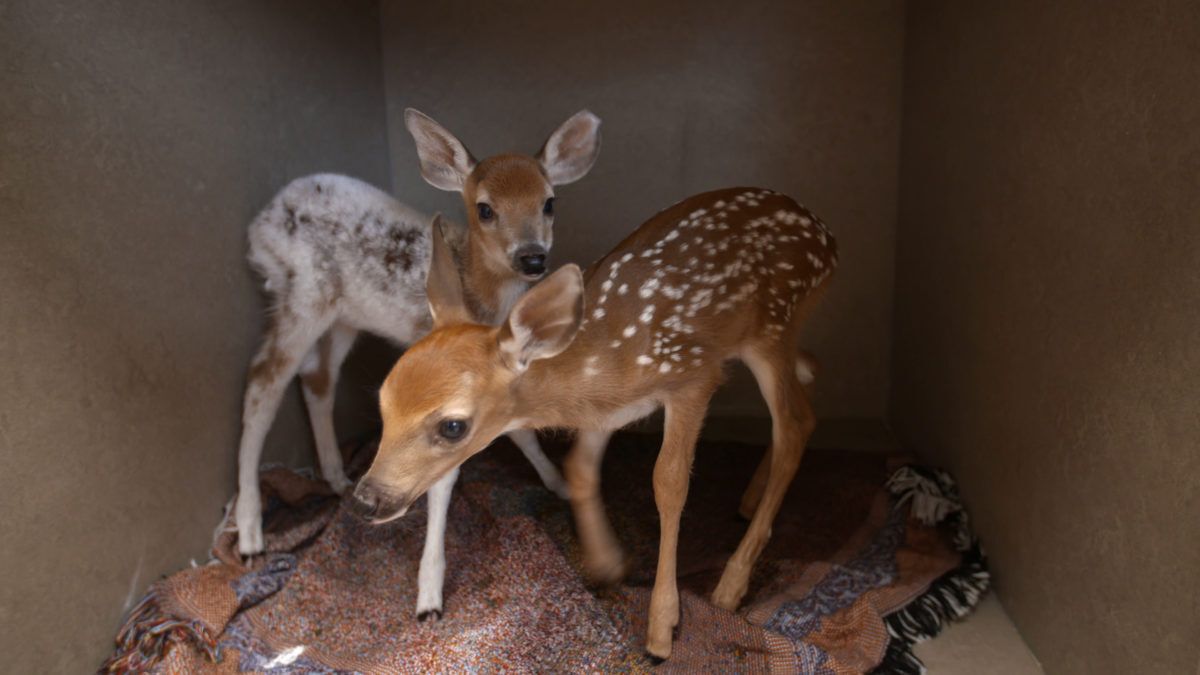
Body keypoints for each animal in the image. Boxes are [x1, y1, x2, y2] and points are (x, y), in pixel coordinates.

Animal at [234, 108, 602, 621]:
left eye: (550, 202)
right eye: (485, 209)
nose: (532, 257)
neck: (478, 298)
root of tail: (260, 224)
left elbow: (520, 430)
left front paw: (558, 484)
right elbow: (444, 476)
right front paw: (429, 596)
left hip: (344, 315)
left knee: (317, 379)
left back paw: (335, 476)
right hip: (301, 294)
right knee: (262, 382)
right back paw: (250, 534)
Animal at [348, 186, 838, 659]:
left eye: (452, 426)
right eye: (382, 402)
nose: (366, 500)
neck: (600, 360)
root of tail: (826, 235)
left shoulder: (693, 377)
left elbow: (669, 483)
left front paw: (662, 628)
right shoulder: (607, 410)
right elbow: (580, 470)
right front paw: (608, 565)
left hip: (771, 327)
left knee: (795, 423)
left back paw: (731, 584)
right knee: (811, 373)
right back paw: (749, 500)